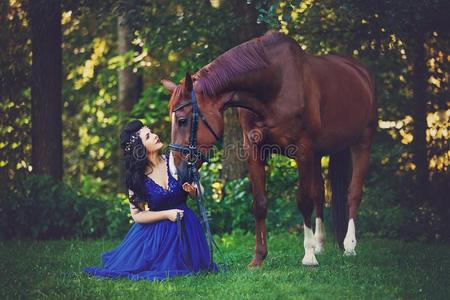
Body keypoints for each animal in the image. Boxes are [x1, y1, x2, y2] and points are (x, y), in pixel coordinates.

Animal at [161, 29, 376, 264]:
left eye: (182, 121)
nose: (175, 170)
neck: (273, 85)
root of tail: (360, 71)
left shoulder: (303, 152)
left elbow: (303, 201)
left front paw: (308, 256)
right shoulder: (254, 151)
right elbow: (260, 203)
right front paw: (258, 258)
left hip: (362, 142)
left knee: (353, 193)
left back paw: (349, 246)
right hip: (320, 153)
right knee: (320, 193)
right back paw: (320, 244)